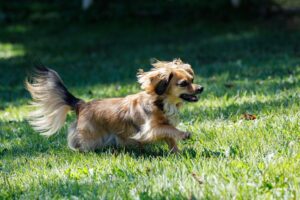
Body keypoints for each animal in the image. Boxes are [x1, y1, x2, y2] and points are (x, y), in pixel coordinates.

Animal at [25, 58, 204, 152]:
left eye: (192, 79)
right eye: (183, 83)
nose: (201, 88)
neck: (162, 103)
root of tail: (82, 104)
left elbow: (170, 137)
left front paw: (176, 153)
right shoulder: (150, 129)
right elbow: (170, 129)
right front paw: (184, 134)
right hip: (90, 136)